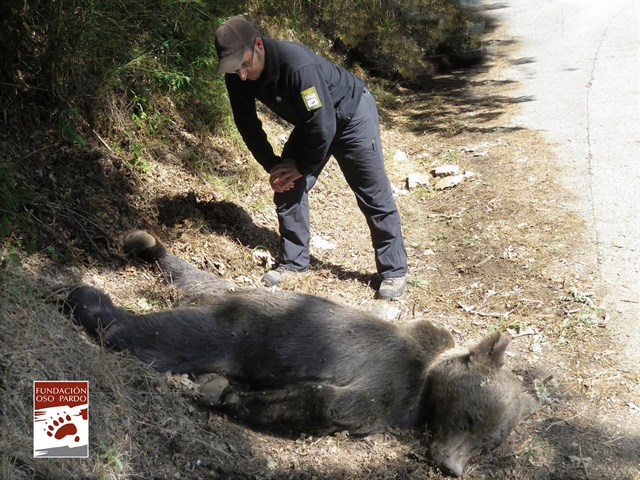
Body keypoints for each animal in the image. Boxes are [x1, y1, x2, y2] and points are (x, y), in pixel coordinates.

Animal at [63, 230, 532, 477]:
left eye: (487, 444)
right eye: (468, 419)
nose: (453, 465)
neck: (429, 377)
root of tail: (227, 294)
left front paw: (236, 397)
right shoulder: (393, 377)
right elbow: (338, 405)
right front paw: (238, 399)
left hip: (223, 299)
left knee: (186, 284)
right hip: (243, 329)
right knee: (169, 336)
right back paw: (88, 299)